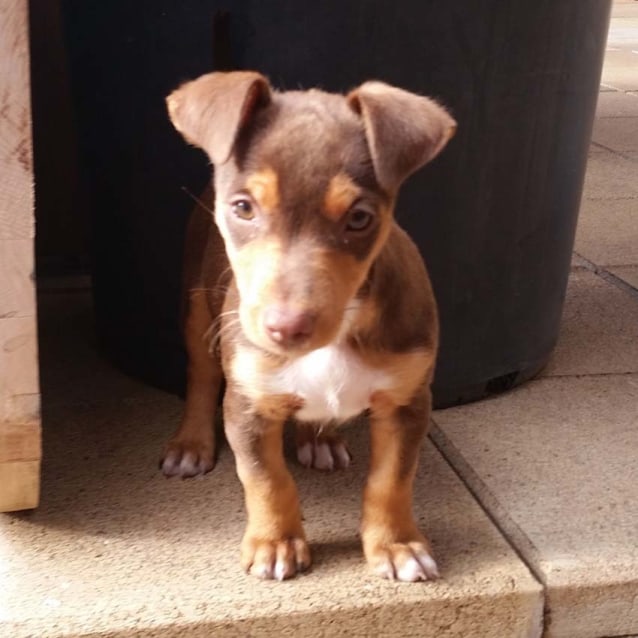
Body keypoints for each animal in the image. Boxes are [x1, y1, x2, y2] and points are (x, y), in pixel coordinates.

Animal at [162, 71, 458, 584]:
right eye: (243, 208)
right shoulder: (249, 405)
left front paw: (397, 545)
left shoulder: (406, 403)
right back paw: (191, 443)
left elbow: (392, 479)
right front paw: (276, 543)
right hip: (197, 305)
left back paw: (321, 440)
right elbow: (265, 478)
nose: (286, 328)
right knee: (200, 376)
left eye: (359, 218)